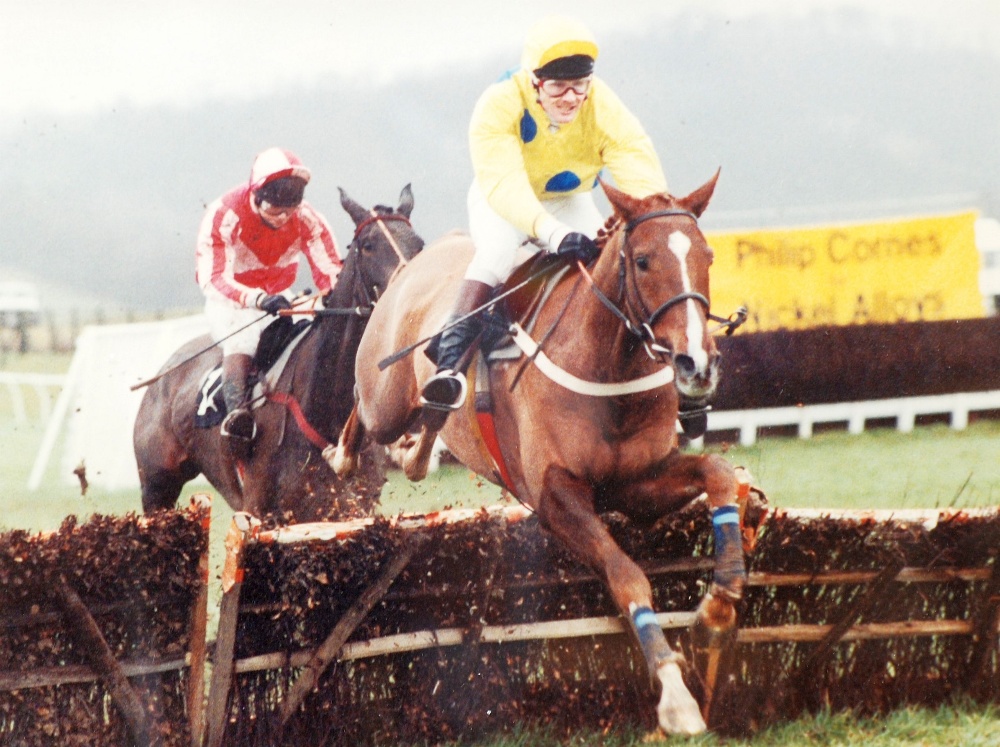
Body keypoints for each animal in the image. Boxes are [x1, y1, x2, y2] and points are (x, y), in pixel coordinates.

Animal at [134, 186, 426, 524]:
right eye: (367, 245)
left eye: (420, 244)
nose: (412, 295)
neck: (326, 410)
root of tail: (163, 375)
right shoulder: (263, 510)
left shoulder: (350, 508)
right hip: (157, 488)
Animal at [332, 171, 752, 736]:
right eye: (643, 260)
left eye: (707, 255)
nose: (696, 364)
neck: (606, 365)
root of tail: (411, 262)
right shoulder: (556, 497)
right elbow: (626, 575)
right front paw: (675, 695)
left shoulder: (636, 483)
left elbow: (719, 470)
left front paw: (719, 605)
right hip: (385, 399)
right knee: (363, 407)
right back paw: (345, 455)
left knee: (429, 422)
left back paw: (413, 454)